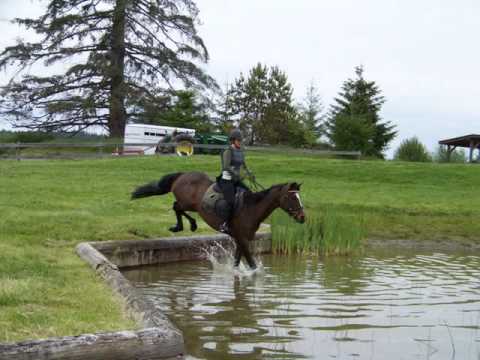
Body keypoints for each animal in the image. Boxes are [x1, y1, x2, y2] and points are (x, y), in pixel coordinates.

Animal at [129, 172, 306, 270]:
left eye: (298, 197)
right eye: (292, 198)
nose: (303, 217)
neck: (251, 208)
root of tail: (183, 174)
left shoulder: (242, 239)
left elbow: (237, 261)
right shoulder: (242, 239)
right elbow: (252, 264)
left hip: (192, 205)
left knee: (177, 208)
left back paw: (187, 225)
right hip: (187, 202)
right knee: (176, 207)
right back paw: (184, 226)